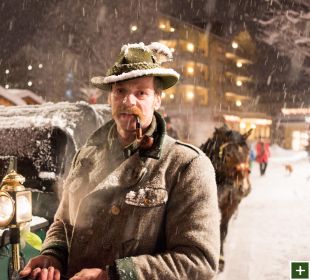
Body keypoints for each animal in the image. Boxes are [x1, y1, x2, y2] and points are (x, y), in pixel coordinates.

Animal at [201, 124, 252, 272]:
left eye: (247, 152)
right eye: (228, 155)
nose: (244, 187)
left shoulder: (231, 205)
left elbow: (223, 231)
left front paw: (221, 259)